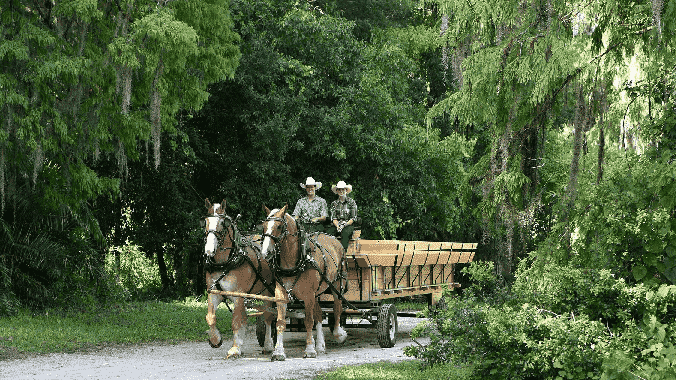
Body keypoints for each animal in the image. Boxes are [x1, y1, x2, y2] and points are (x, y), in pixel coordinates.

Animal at [202, 200, 276, 358]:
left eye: (222, 223)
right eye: (205, 221)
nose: (209, 250)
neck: (226, 262)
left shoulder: (239, 295)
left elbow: (236, 321)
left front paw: (235, 348)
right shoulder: (214, 293)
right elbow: (210, 317)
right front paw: (215, 339)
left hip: (268, 291)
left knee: (268, 316)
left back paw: (268, 345)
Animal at [256, 203, 346, 360]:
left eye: (279, 226)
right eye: (264, 226)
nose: (265, 252)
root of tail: (335, 240)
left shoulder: (308, 295)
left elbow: (308, 321)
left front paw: (309, 349)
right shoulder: (281, 294)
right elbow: (280, 321)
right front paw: (278, 352)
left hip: (336, 285)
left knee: (337, 308)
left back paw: (338, 333)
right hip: (316, 293)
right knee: (319, 314)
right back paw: (320, 345)